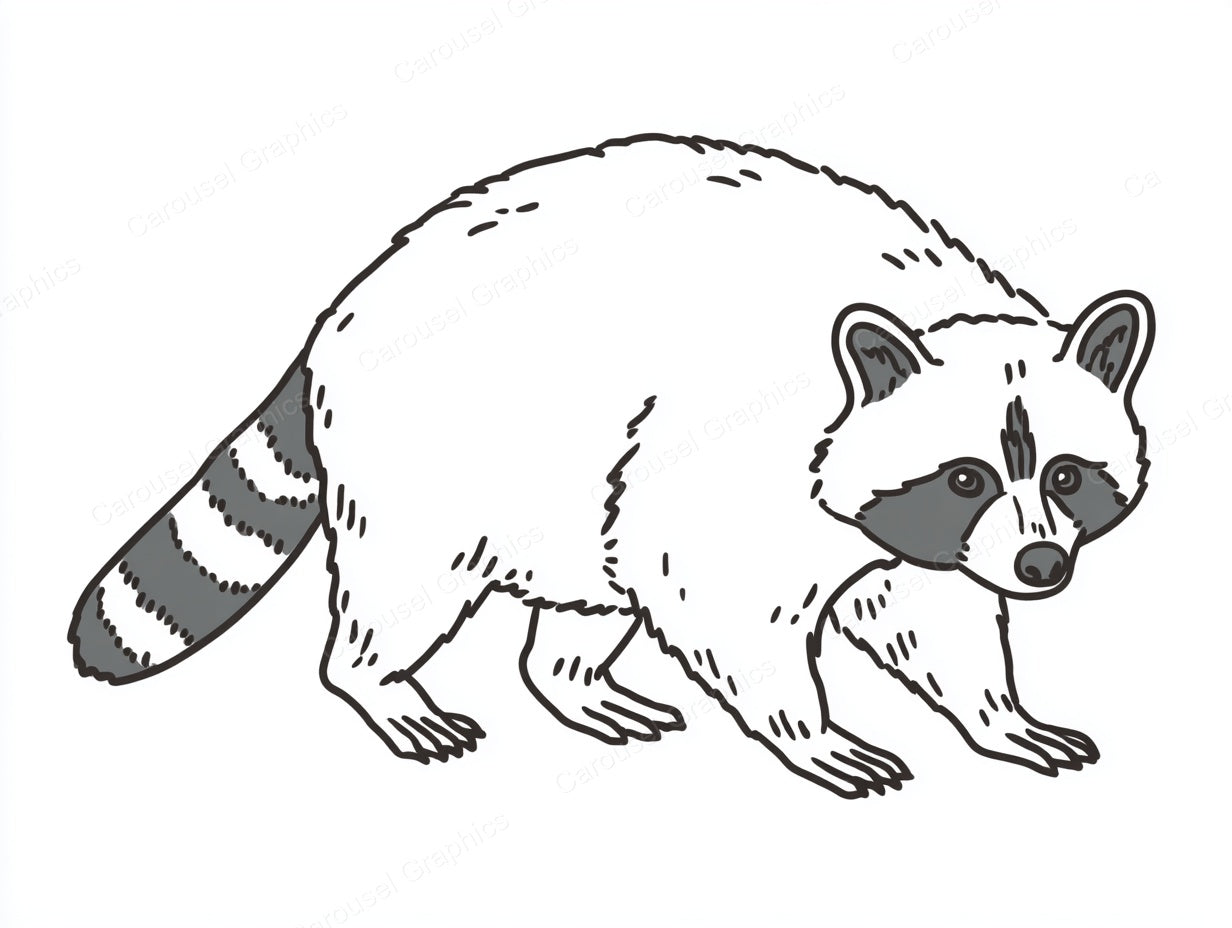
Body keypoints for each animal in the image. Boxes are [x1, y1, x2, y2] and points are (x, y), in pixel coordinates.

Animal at [69, 134, 1153, 797]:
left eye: (1065, 475)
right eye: (965, 477)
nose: (1042, 568)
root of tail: (340, 309)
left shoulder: (908, 542)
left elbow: (935, 614)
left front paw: (996, 712)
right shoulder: (737, 468)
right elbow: (731, 608)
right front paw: (807, 728)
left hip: (568, 489)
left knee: (596, 579)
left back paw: (572, 676)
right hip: (435, 456)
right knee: (403, 590)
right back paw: (379, 680)